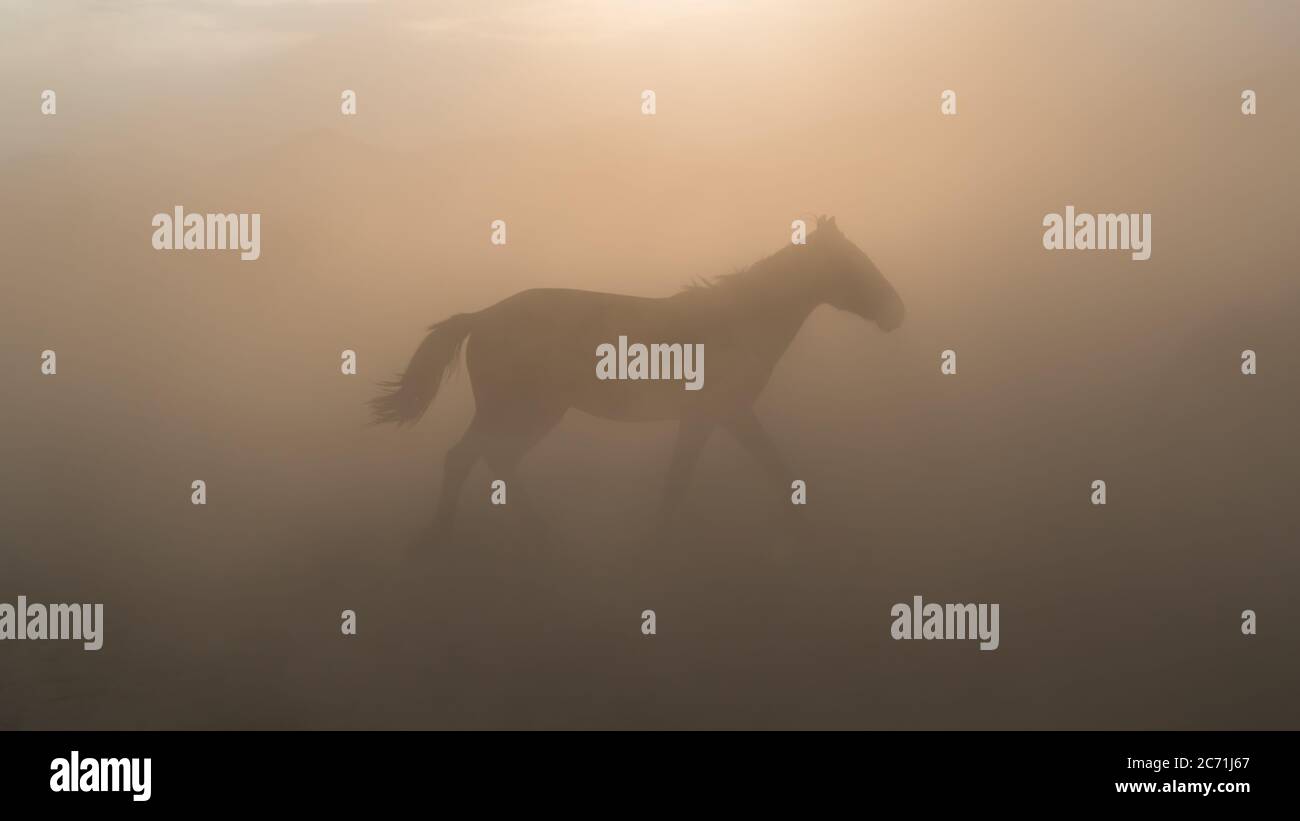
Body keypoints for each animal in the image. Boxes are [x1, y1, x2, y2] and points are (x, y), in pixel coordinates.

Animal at [371, 214, 904, 543]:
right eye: (851, 262)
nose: (896, 312)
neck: (737, 320)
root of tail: (481, 317)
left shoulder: (710, 417)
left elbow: (687, 477)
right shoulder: (727, 412)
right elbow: (766, 468)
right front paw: (811, 533)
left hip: (536, 412)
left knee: (494, 459)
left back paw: (537, 534)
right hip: (518, 408)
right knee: (468, 457)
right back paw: (447, 535)